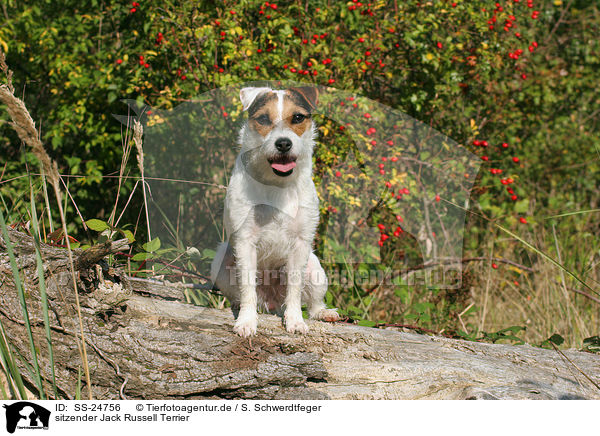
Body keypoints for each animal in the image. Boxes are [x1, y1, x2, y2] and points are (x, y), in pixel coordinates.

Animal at [211, 85, 340, 338]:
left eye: (297, 117)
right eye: (263, 119)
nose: (283, 143)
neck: (276, 184)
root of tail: (272, 303)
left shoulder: (300, 244)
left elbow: (295, 289)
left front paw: (295, 321)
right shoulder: (245, 242)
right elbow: (247, 286)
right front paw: (246, 321)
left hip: (315, 269)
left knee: (313, 303)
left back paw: (323, 313)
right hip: (221, 261)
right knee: (239, 293)